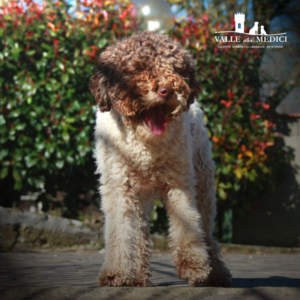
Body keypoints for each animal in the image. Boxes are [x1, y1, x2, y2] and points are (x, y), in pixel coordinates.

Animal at [89, 31, 232, 288]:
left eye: (176, 69)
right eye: (138, 67)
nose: (166, 90)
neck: (144, 143)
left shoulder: (178, 183)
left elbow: (187, 224)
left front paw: (193, 267)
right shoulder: (119, 186)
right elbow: (120, 231)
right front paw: (116, 272)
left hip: (203, 182)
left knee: (206, 230)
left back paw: (216, 272)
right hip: (139, 196)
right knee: (140, 232)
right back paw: (138, 275)